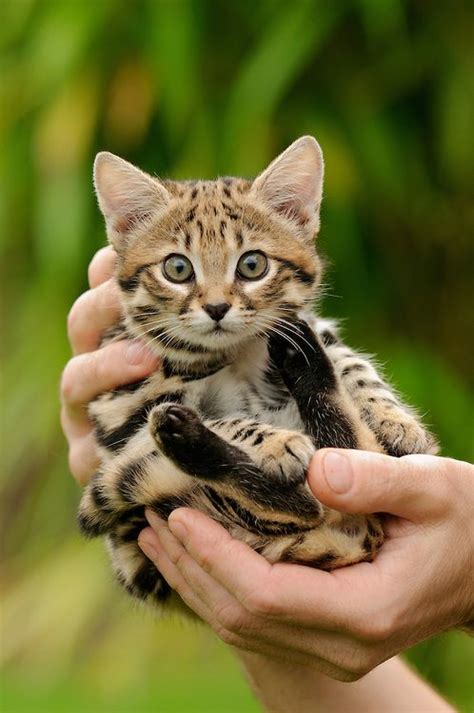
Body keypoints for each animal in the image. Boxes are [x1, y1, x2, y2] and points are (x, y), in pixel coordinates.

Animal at [78, 136, 436, 608]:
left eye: (252, 265)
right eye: (177, 268)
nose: (216, 308)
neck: (238, 351)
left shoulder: (315, 328)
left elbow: (354, 365)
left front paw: (397, 421)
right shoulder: (125, 412)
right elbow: (224, 419)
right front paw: (277, 444)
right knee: (299, 503)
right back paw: (185, 435)